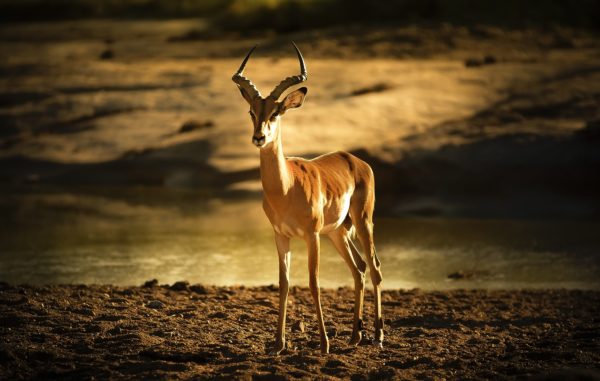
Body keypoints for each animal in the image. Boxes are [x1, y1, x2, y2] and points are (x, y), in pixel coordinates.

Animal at [232, 42, 382, 354]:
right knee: (359, 268)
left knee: (374, 267)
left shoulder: (311, 236)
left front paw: (324, 344)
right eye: (252, 111)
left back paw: (378, 335)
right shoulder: (281, 236)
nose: (259, 137)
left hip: (363, 221)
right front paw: (278, 344)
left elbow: (313, 283)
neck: (285, 188)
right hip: (338, 232)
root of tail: (355, 160)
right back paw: (355, 336)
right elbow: (284, 283)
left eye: (276, 113)